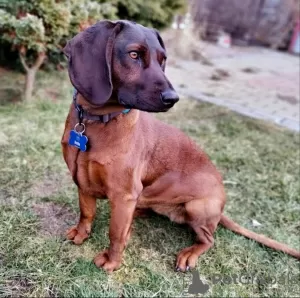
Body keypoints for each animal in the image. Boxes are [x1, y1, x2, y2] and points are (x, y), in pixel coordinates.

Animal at [61, 19, 300, 274]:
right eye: (134, 54)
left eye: (162, 59)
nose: (172, 98)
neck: (95, 121)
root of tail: (221, 207)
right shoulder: (82, 180)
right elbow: (86, 213)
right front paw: (81, 233)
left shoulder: (123, 194)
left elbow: (115, 233)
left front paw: (112, 260)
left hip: (196, 207)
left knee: (208, 239)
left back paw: (189, 254)